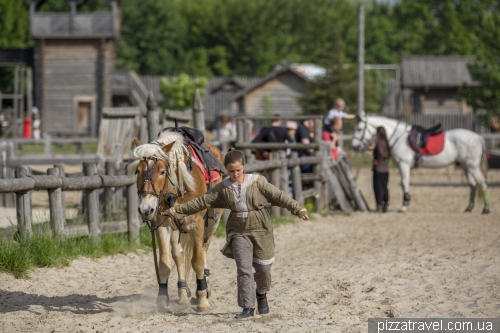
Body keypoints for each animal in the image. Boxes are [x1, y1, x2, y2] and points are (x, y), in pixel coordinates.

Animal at [129, 128, 223, 310]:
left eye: (162, 172)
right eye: (137, 171)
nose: (146, 209)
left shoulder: (197, 224)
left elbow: (197, 261)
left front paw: (202, 299)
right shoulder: (162, 225)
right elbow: (165, 263)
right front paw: (162, 299)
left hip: (213, 221)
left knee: (203, 249)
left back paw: (204, 287)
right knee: (178, 255)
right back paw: (182, 292)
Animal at [350, 113, 490, 213]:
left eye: (360, 128)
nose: (354, 147)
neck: (399, 137)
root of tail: (478, 137)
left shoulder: (404, 164)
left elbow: (404, 183)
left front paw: (404, 205)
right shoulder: (402, 166)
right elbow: (404, 184)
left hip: (472, 166)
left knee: (482, 183)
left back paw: (486, 209)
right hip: (466, 167)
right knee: (473, 185)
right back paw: (469, 208)